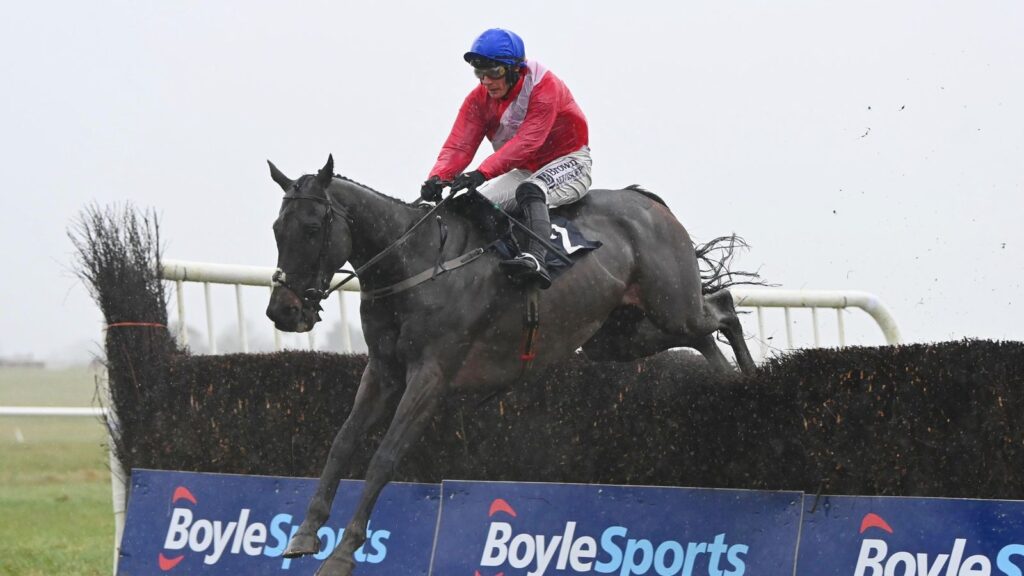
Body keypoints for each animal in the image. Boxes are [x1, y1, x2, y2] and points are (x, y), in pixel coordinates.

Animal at [268, 154, 757, 569]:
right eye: (277, 228)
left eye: (311, 227)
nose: (282, 311)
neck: (415, 264)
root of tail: (647, 201)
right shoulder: (383, 370)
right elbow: (342, 443)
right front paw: (304, 534)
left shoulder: (432, 374)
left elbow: (385, 456)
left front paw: (343, 553)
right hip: (619, 334)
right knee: (706, 331)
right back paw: (730, 383)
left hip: (670, 305)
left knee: (723, 309)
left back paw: (755, 382)